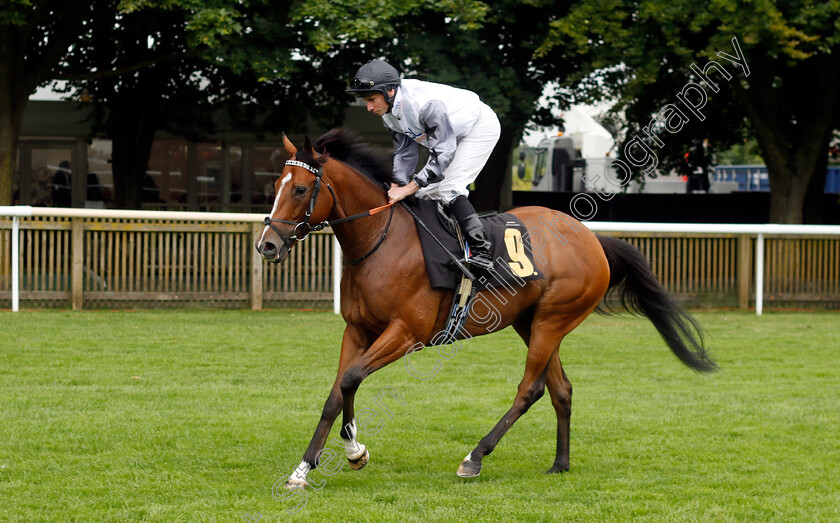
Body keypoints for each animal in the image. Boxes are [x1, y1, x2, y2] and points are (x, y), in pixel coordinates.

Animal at [258, 129, 716, 490]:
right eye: (276, 184)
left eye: (300, 189)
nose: (268, 245)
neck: (380, 241)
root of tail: (591, 238)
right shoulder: (356, 330)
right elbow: (337, 393)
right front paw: (311, 467)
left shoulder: (406, 334)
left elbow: (352, 379)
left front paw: (351, 452)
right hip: (532, 323)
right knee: (561, 389)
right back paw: (560, 463)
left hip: (553, 319)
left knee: (530, 389)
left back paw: (474, 457)